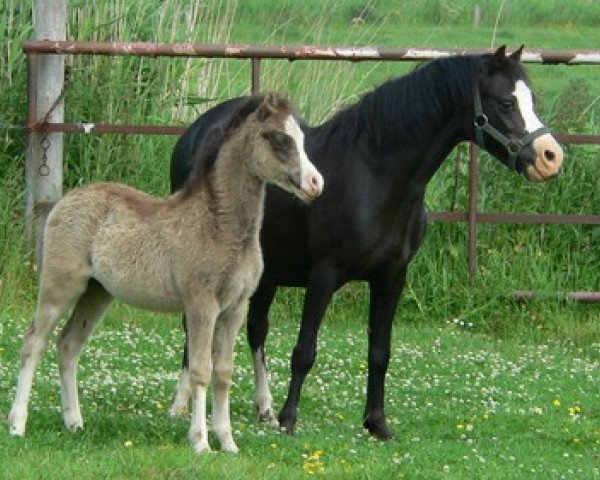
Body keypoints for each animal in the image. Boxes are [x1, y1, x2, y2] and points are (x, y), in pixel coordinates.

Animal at [168, 47, 564, 440]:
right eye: (506, 102)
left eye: (531, 98)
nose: (551, 156)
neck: (375, 174)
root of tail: (199, 129)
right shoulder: (324, 274)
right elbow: (305, 350)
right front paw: (289, 419)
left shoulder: (391, 277)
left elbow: (379, 352)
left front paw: (376, 423)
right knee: (196, 330)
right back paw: (181, 405)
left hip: (266, 274)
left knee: (255, 331)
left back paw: (262, 407)